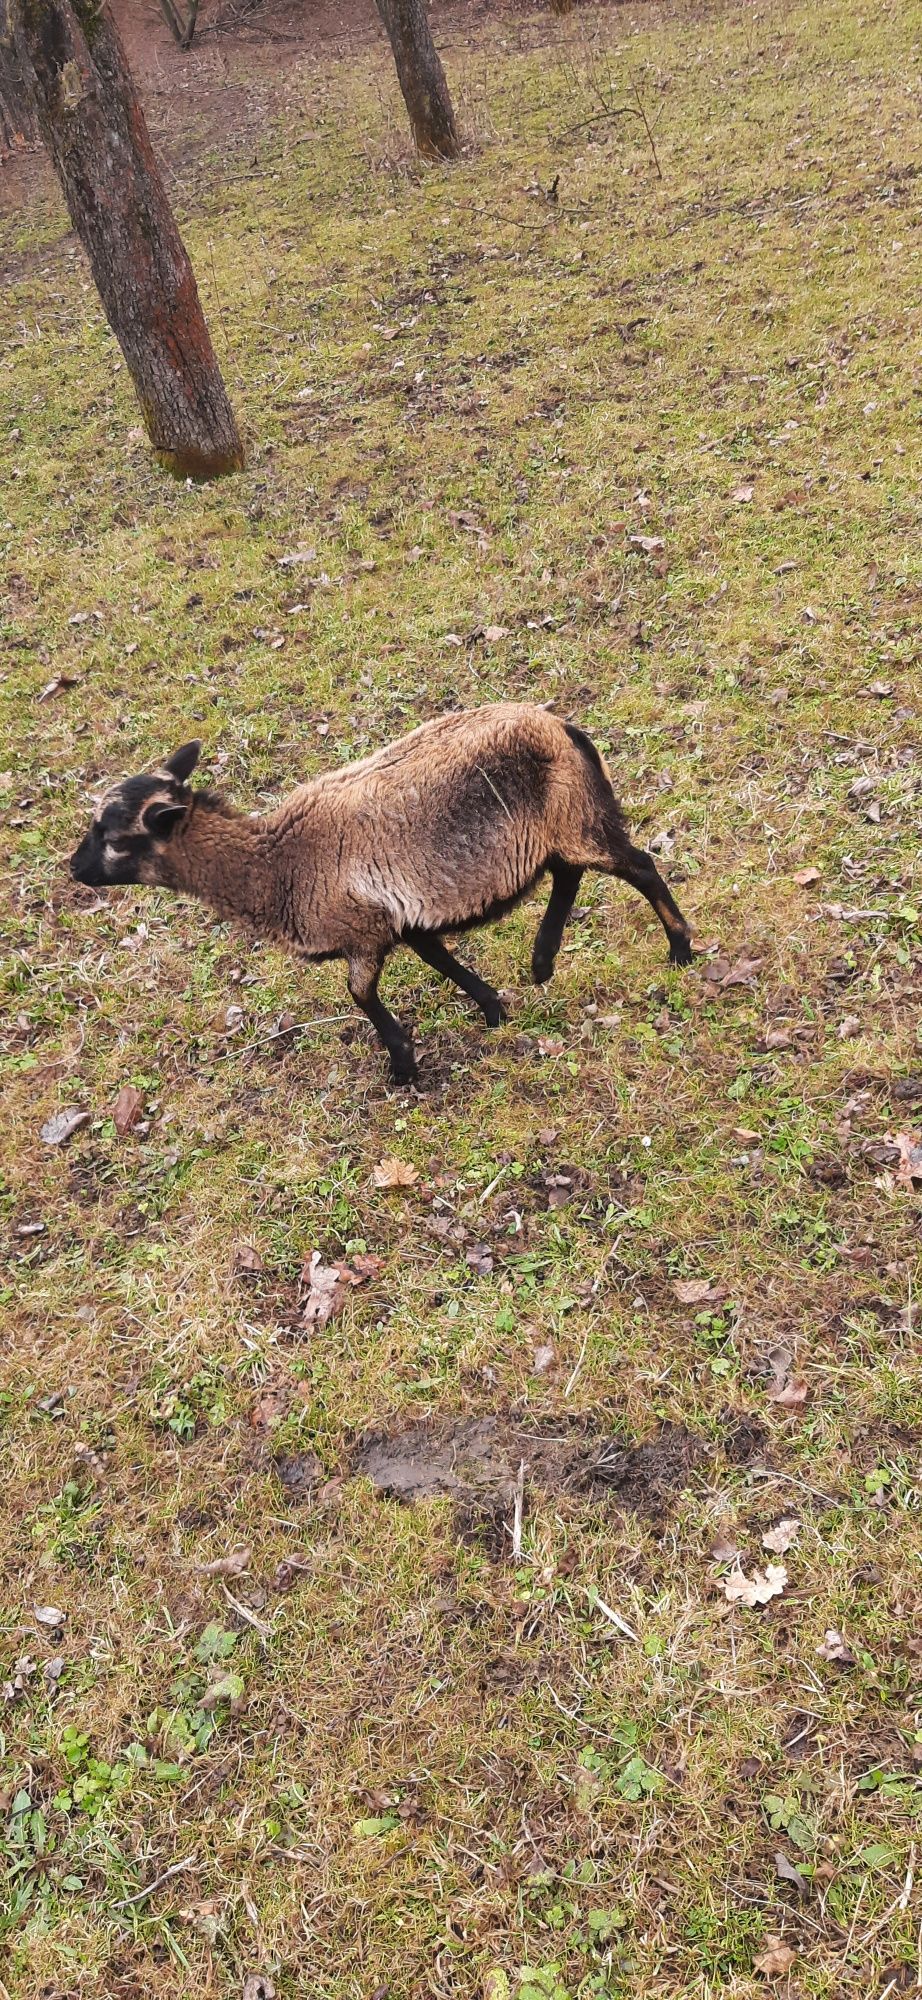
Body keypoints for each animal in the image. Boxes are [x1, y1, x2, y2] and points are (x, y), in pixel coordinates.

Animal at [70, 704, 688, 1080]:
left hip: (576, 815)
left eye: (115, 838)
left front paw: (403, 1065)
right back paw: (542, 960)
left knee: (640, 867)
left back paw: (679, 949)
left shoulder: (363, 932)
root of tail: (561, 727)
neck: (278, 866)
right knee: (569, 874)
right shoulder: (407, 919)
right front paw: (493, 1010)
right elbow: (443, 961)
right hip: (558, 826)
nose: (75, 869)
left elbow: (361, 994)